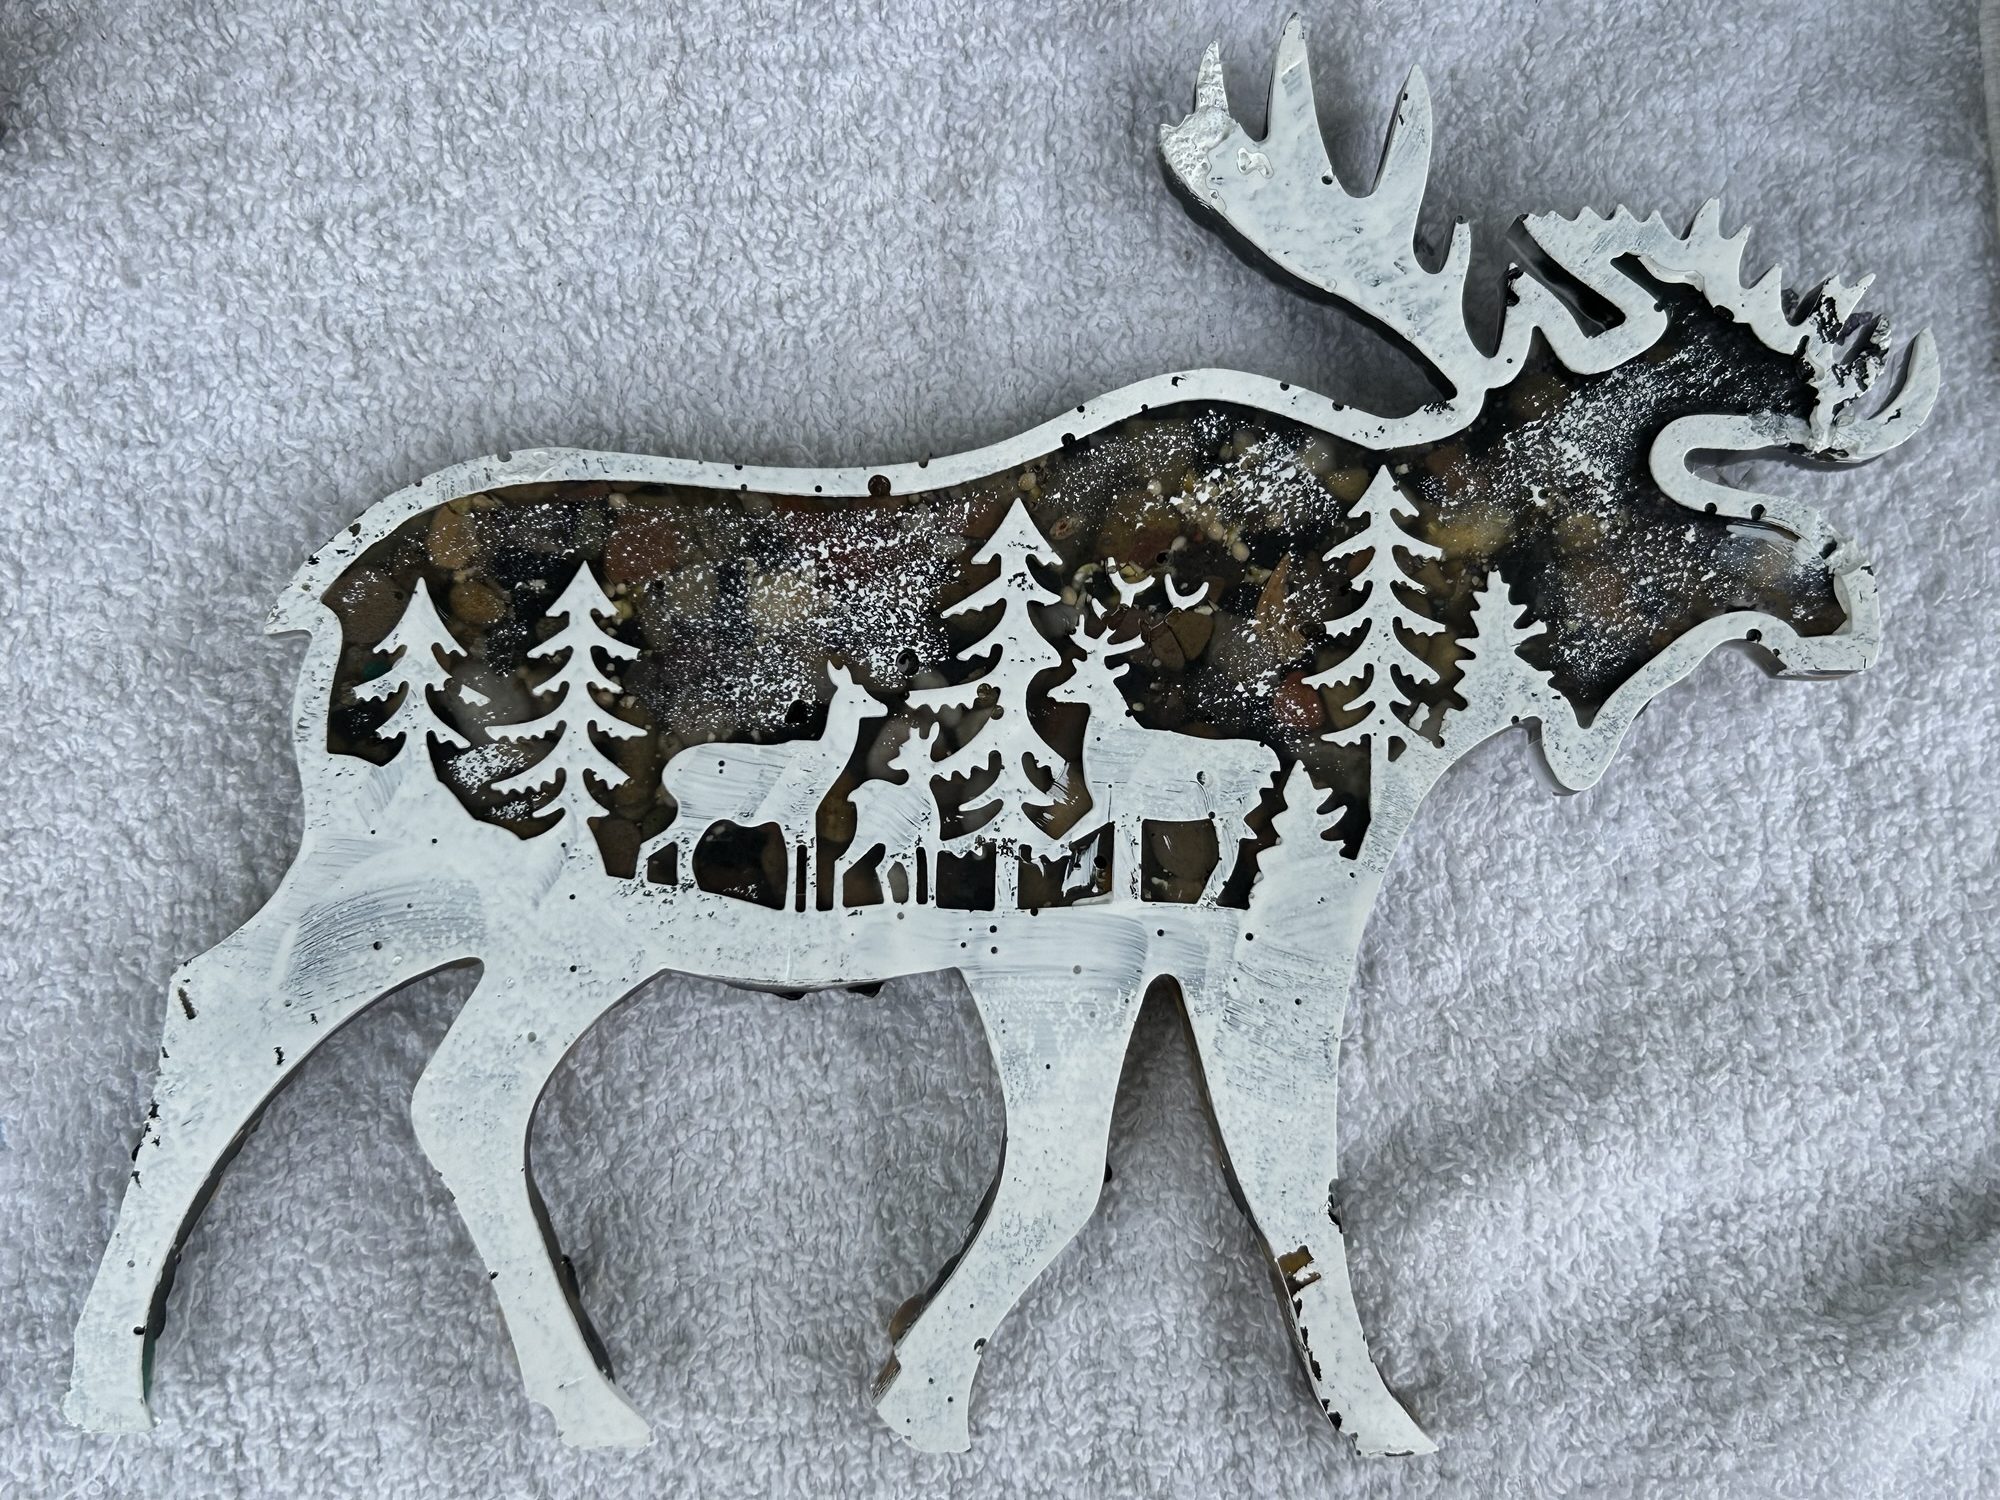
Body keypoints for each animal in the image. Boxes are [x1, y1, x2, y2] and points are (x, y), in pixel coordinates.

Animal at [638, 661, 888, 910]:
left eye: (866, 692)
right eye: (859, 699)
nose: (884, 707)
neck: (821, 759)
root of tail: (668, 774)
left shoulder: (804, 820)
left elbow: (808, 855)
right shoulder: (790, 819)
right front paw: (794, 906)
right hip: (697, 812)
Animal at [1049, 598, 1279, 904]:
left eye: (1089, 681)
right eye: (1075, 670)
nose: (1053, 693)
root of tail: (1273, 763)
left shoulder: (1119, 806)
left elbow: (1100, 848)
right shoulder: (1120, 811)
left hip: (1226, 810)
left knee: (1230, 853)